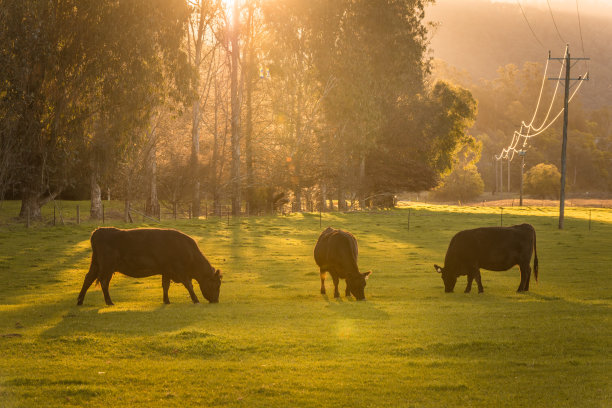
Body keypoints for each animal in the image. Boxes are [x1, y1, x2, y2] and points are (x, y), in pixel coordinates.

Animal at [75, 228, 221, 304]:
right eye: (216, 284)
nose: (216, 300)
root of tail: (99, 231)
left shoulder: (166, 271)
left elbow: (165, 286)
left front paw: (166, 301)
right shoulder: (180, 271)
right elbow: (189, 285)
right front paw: (196, 300)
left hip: (96, 265)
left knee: (88, 279)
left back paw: (80, 301)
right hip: (107, 267)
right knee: (104, 282)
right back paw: (109, 301)